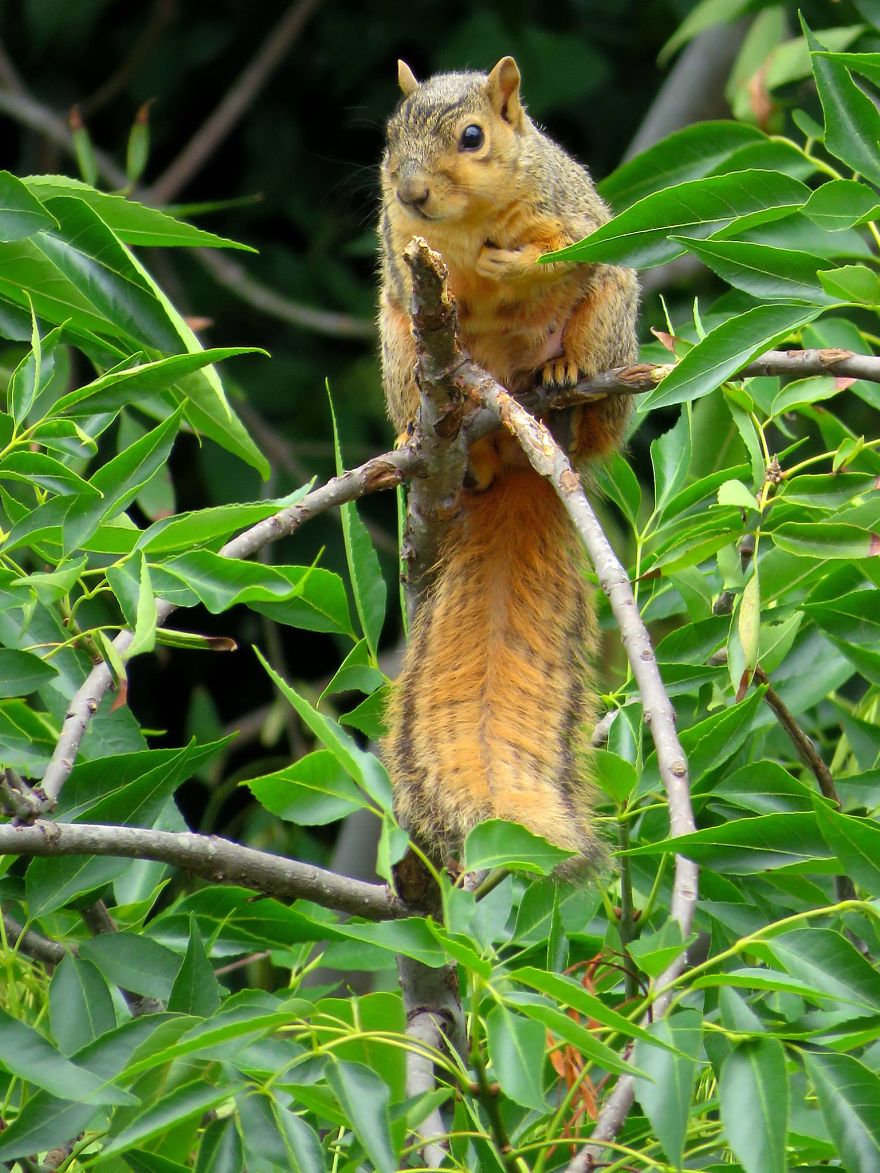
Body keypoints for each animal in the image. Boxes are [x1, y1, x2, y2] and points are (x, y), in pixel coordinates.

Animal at [378, 56, 639, 870]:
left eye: (473, 137)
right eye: (390, 136)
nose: (412, 190)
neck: (463, 223)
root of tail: (526, 463)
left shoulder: (573, 214)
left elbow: (565, 248)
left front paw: (512, 260)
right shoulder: (402, 256)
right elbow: (417, 282)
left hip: (612, 313)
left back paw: (565, 384)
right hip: (397, 350)